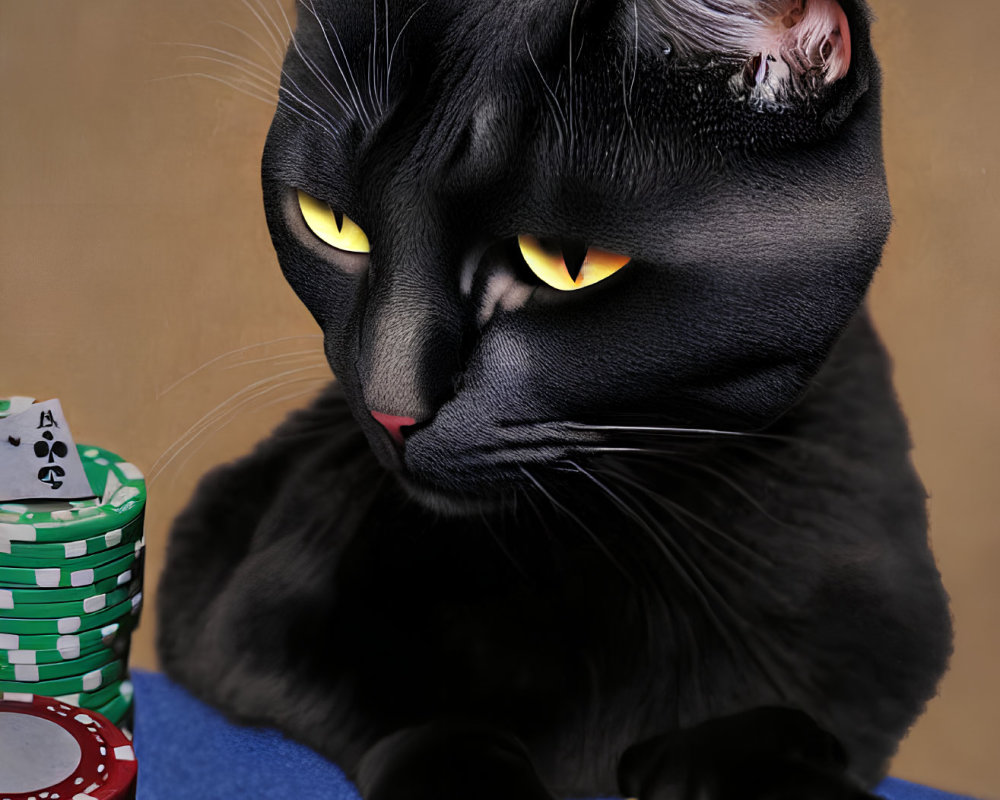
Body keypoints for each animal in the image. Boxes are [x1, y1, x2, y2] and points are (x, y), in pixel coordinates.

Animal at [158, 3, 952, 796]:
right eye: (331, 222)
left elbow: (774, 723)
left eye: (568, 265)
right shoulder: (243, 612)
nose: (391, 408)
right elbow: (415, 715)